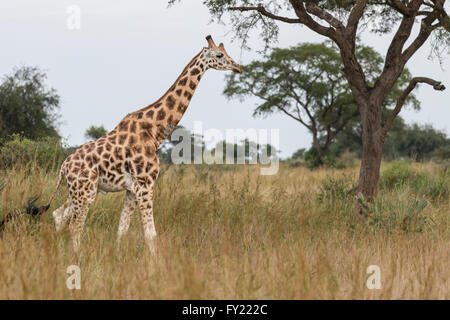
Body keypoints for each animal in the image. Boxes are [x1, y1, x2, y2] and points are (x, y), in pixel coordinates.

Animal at [37, 35, 243, 252]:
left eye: (227, 52)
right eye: (219, 55)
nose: (238, 67)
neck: (154, 131)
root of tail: (63, 167)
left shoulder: (131, 189)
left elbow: (122, 230)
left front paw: (118, 256)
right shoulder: (145, 184)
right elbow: (151, 234)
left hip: (78, 190)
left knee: (58, 215)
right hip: (85, 191)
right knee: (75, 226)